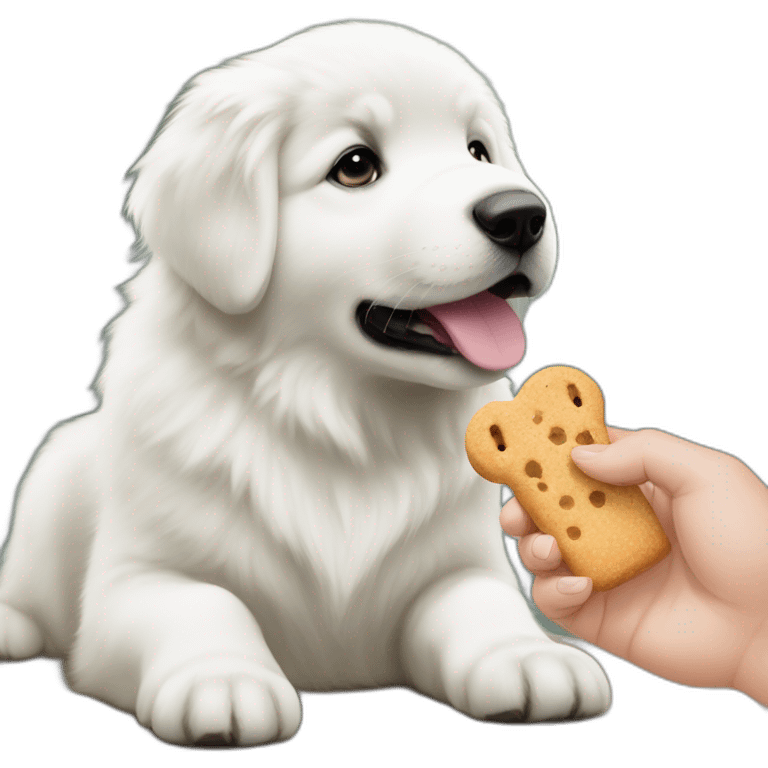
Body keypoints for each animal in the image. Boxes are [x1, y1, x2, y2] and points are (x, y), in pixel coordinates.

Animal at [1, 21, 612, 748]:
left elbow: (479, 600)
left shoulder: (460, 563)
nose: (520, 213)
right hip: (48, 485)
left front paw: (525, 655)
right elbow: (202, 601)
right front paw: (224, 680)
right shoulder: (137, 579)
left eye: (478, 150)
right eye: (355, 165)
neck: (344, 415)